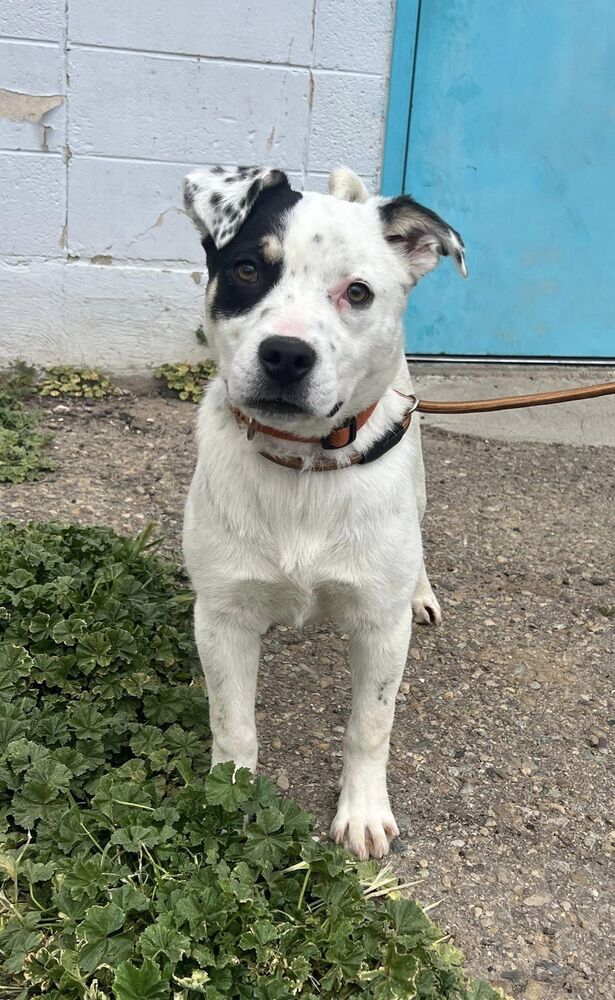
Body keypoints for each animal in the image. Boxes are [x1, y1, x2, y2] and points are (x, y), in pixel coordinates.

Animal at [183, 164, 466, 860]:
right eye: (247, 269)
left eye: (357, 292)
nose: (286, 354)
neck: (303, 467)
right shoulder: (221, 618)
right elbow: (232, 723)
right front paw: (230, 797)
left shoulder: (379, 628)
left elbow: (370, 725)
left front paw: (362, 812)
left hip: (417, 480)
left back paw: (421, 591)